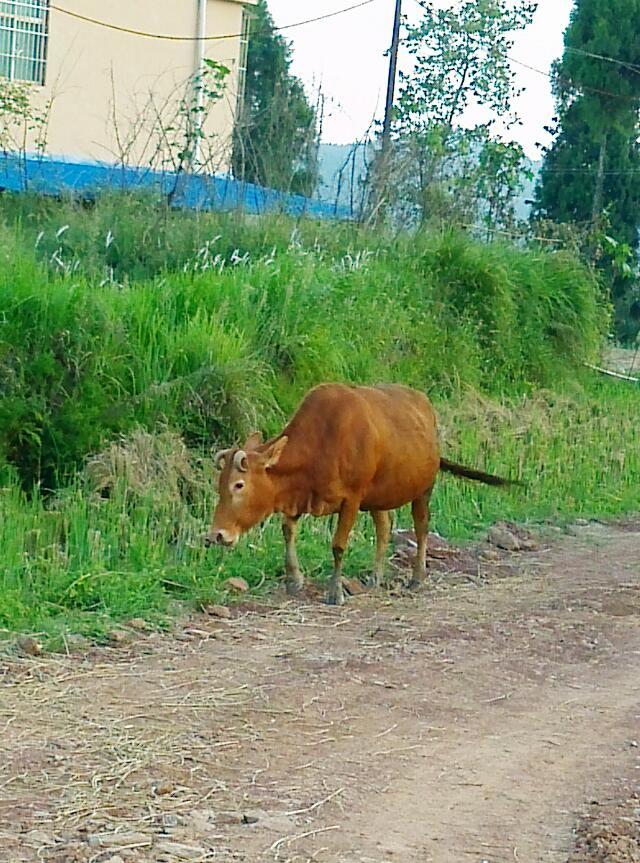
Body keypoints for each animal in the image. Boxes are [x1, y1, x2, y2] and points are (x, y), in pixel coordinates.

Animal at [208, 384, 516, 608]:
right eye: (219, 485)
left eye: (238, 485)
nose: (217, 535)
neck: (322, 443)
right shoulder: (299, 497)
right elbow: (288, 531)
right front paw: (294, 580)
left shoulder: (352, 499)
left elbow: (338, 545)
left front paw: (335, 592)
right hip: (379, 495)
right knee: (384, 526)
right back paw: (376, 576)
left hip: (423, 489)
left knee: (421, 527)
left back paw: (417, 577)